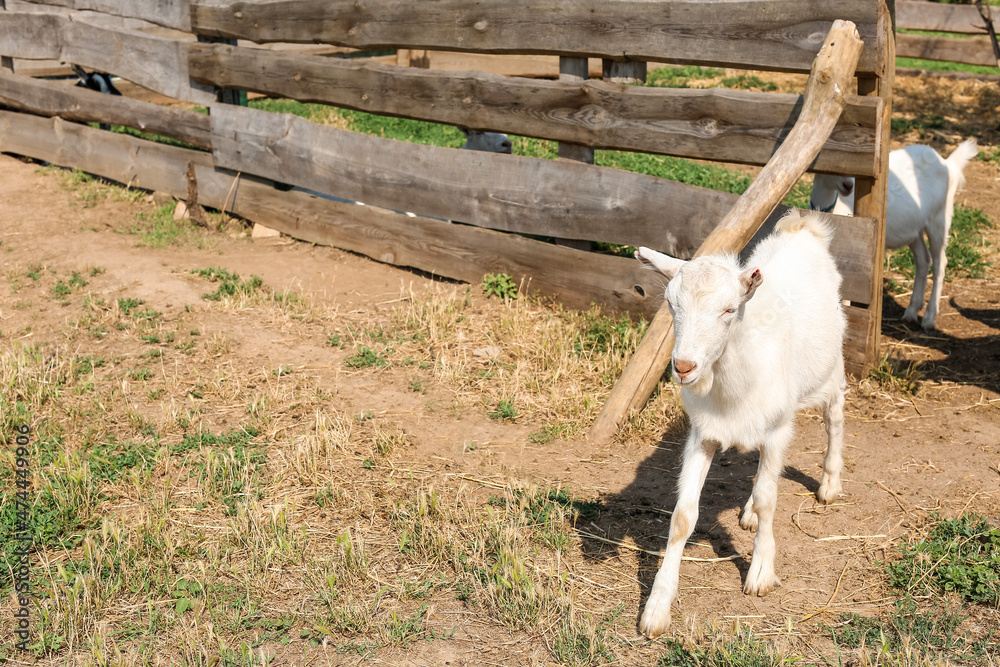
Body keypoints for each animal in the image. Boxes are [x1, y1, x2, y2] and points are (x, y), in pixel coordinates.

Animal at [632, 211, 844, 640]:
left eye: (730, 310)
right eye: (670, 304)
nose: (684, 367)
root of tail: (802, 228)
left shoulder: (778, 431)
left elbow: (768, 499)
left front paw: (761, 572)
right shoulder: (703, 434)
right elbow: (683, 516)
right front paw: (657, 607)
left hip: (831, 368)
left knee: (834, 416)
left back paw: (830, 482)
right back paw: (746, 513)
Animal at [812, 140, 976, 330]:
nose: (849, 185)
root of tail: (948, 164)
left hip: (940, 218)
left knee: (940, 262)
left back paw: (929, 317)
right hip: (913, 228)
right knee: (923, 259)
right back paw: (912, 312)